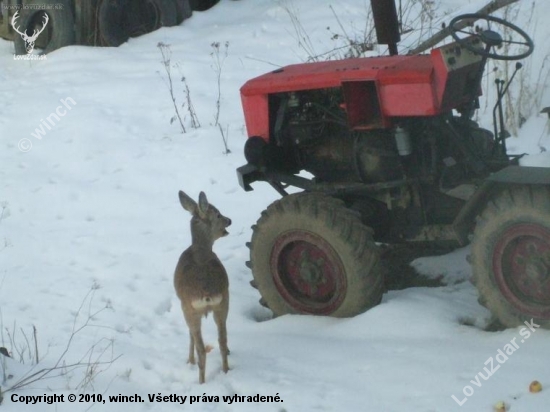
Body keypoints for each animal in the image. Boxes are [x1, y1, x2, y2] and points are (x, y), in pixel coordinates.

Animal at [174, 190, 232, 384]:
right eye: (218, 214)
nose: (229, 220)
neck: (200, 247)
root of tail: (206, 292)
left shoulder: (185, 305)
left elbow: (190, 335)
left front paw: (189, 360)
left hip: (190, 308)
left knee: (201, 346)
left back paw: (201, 380)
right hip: (223, 302)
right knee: (222, 341)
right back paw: (226, 370)